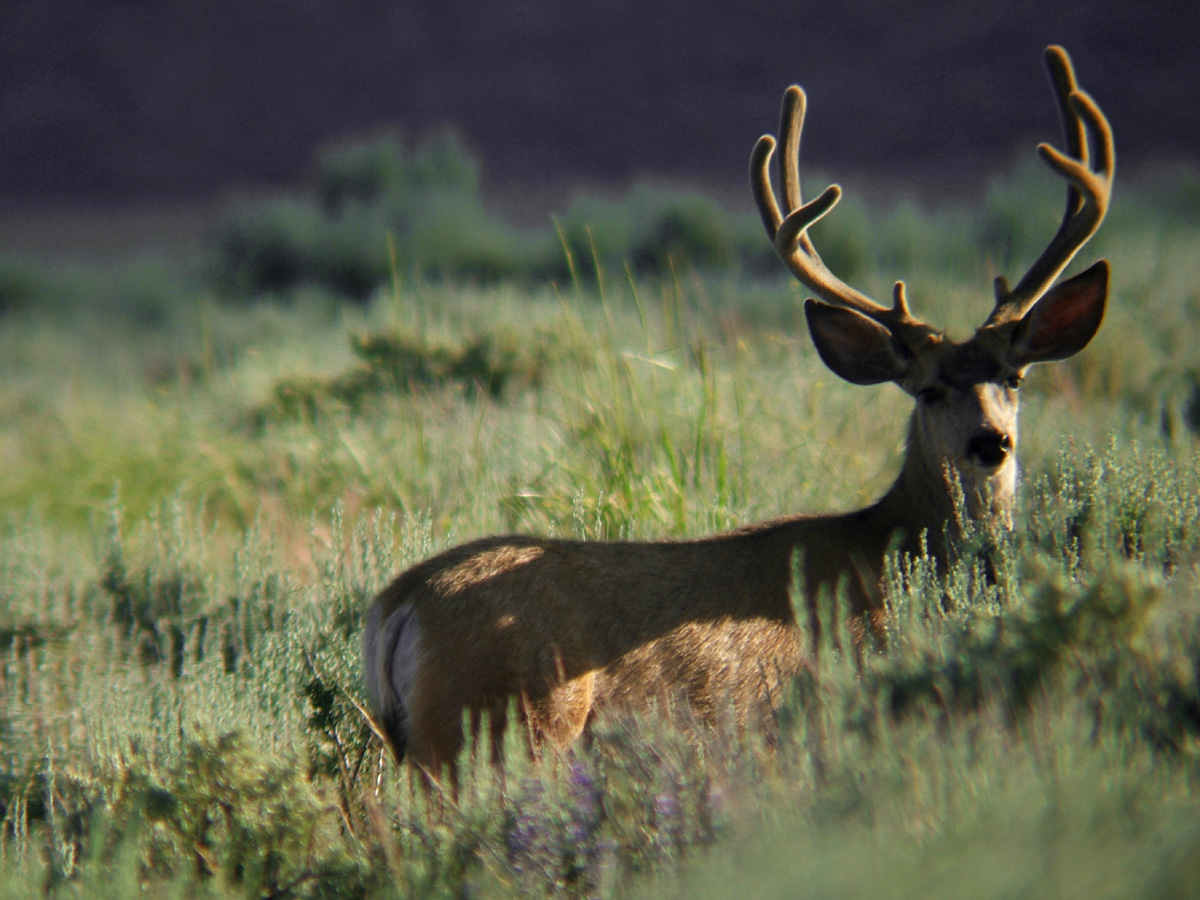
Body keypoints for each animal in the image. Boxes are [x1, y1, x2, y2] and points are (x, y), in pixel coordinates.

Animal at [363, 45, 1113, 780]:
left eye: (1014, 377)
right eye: (928, 389)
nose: (991, 442)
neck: (893, 548)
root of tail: (398, 605)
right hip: (508, 731)